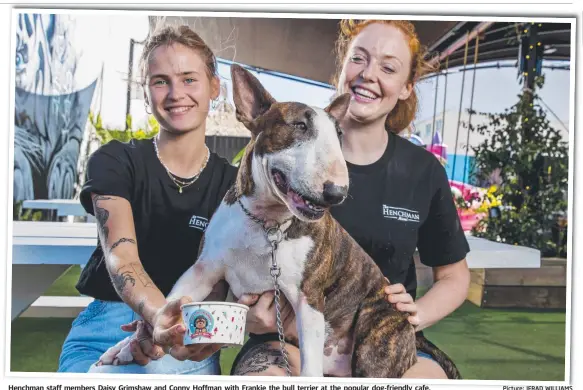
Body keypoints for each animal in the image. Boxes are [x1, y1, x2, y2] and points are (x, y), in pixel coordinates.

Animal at [101, 65, 466, 380]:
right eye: (299, 126)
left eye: (338, 135)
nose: (337, 192)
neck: (265, 222)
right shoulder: (203, 270)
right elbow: (168, 305)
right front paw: (130, 346)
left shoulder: (308, 298)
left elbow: (309, 365)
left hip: (373, 338)